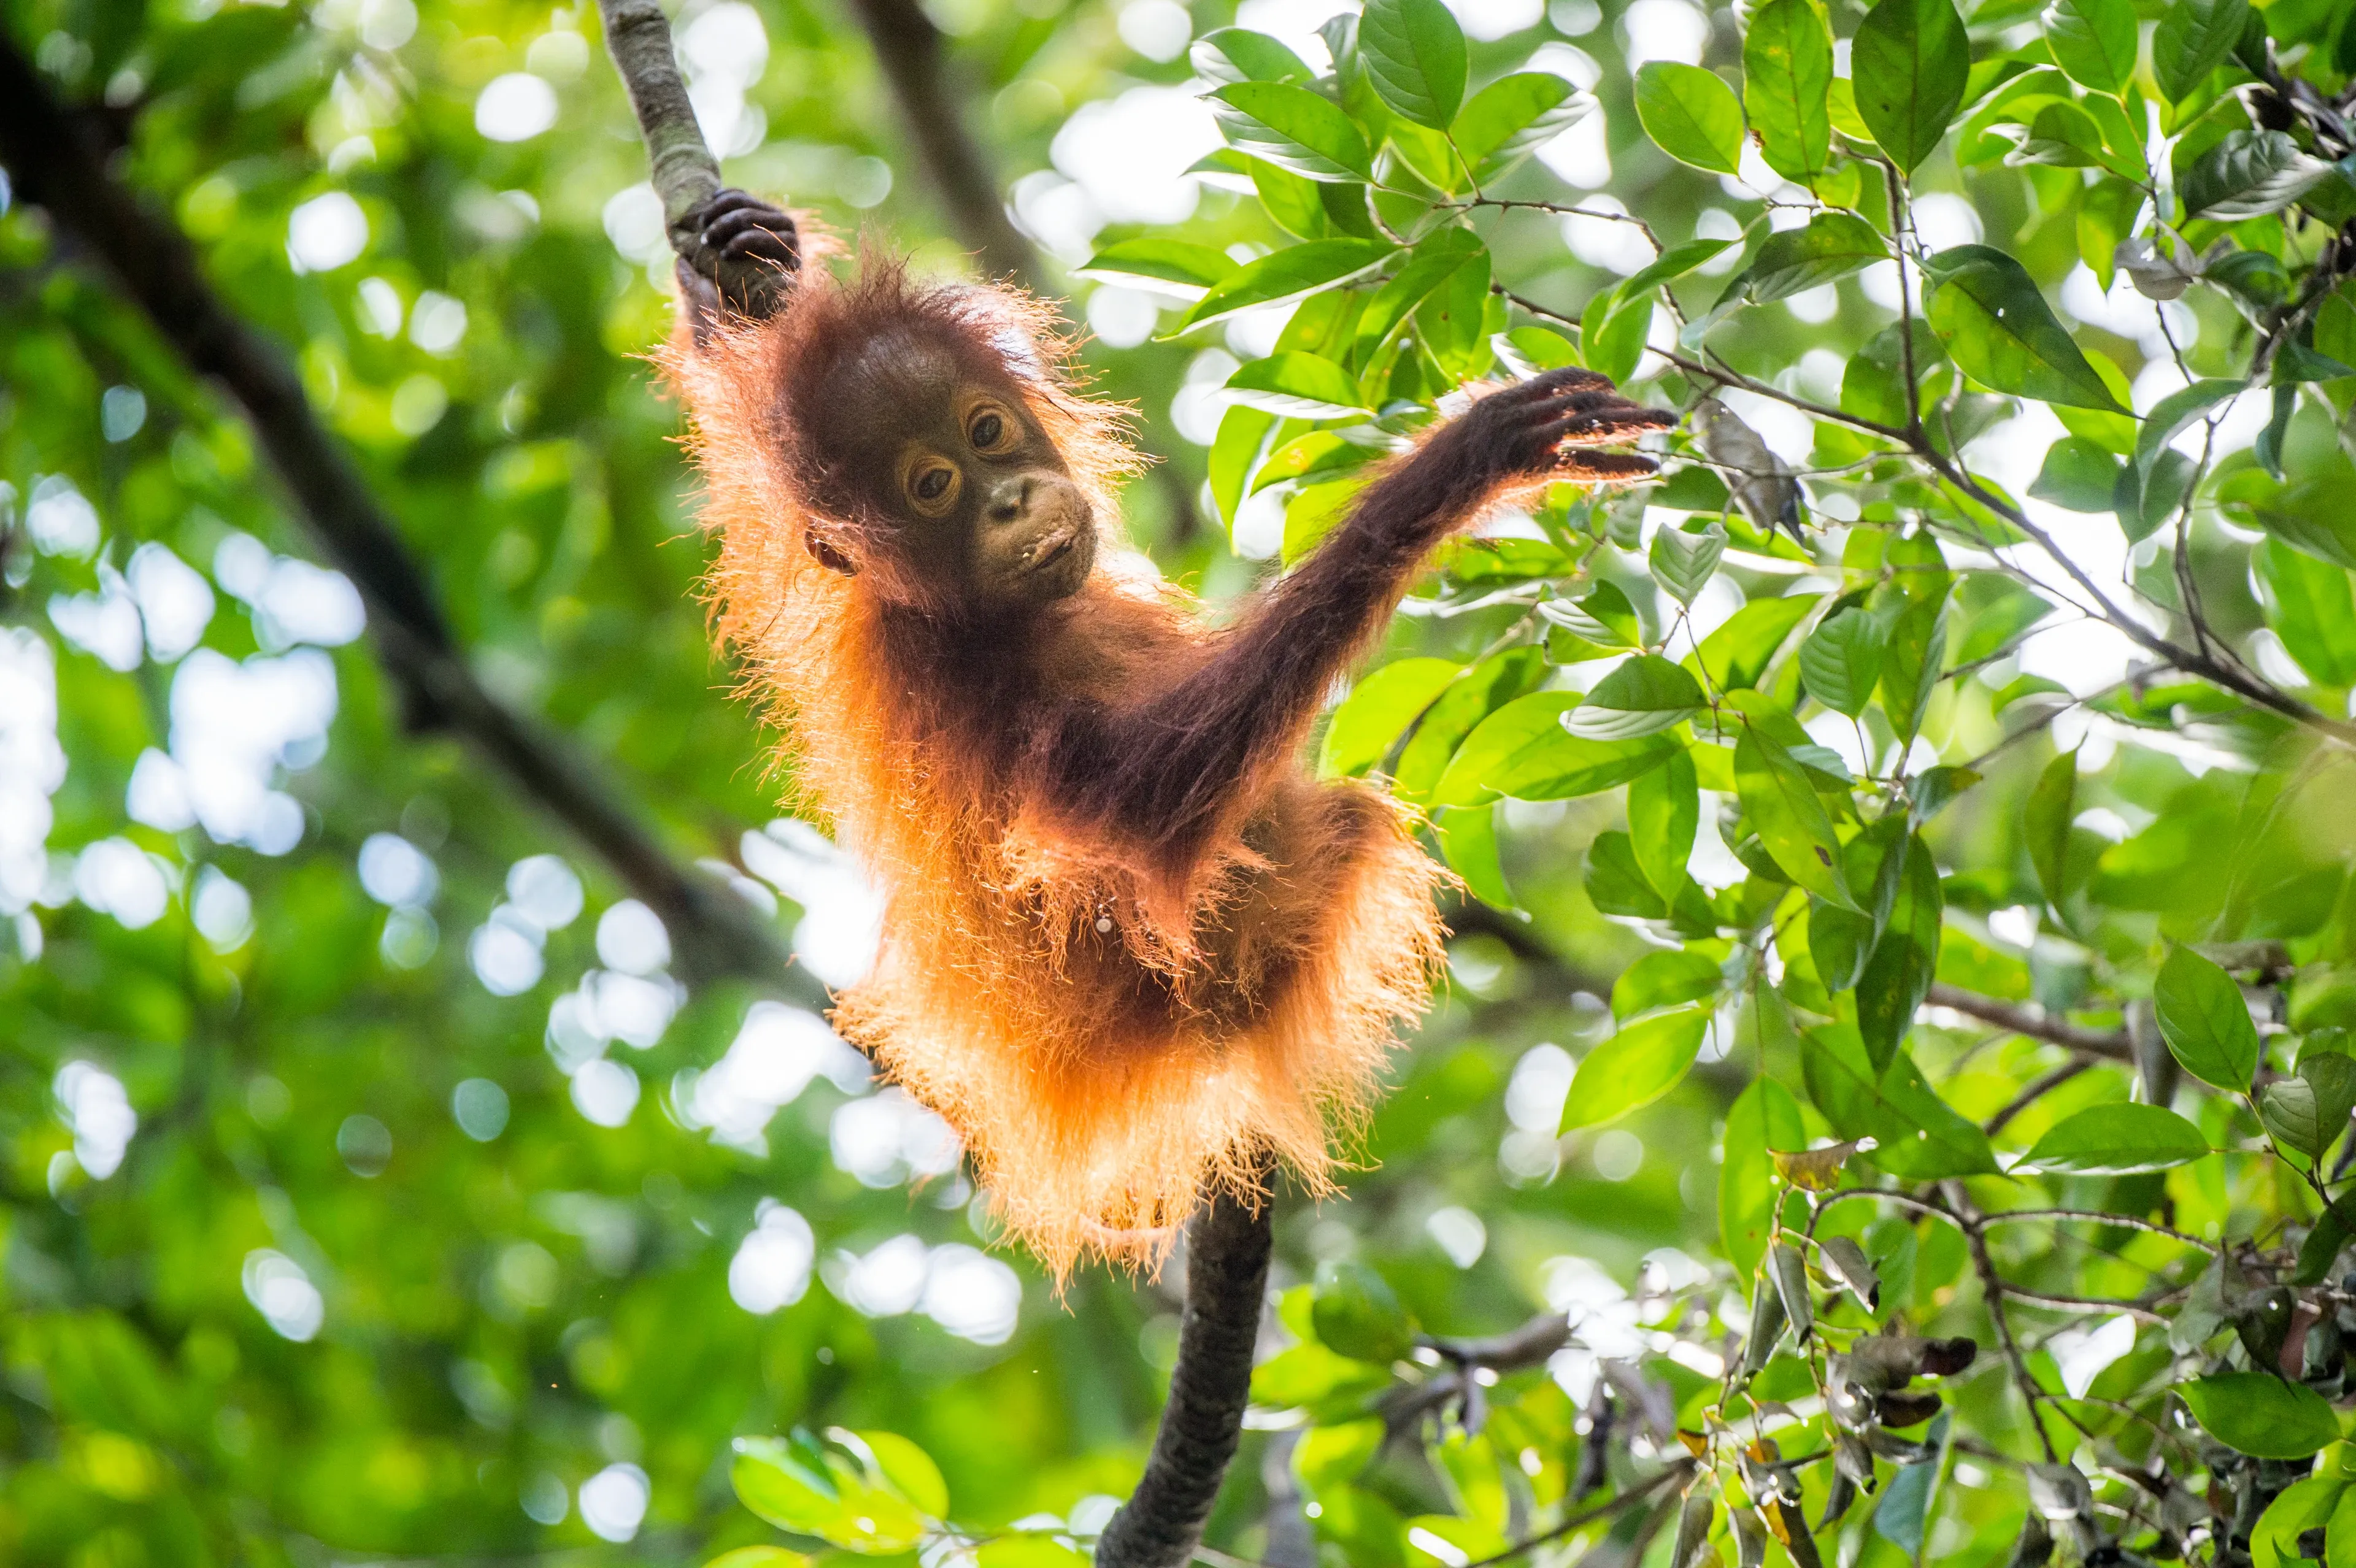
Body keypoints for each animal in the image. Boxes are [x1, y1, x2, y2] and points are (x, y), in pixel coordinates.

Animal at [662, 191, 1673, 1278]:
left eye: (986, 431)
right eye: (932, 486)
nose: (1009, 499)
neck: (969, 612)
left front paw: (741, 255)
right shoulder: (956, 682)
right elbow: (1140, 806)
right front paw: (1462, 463)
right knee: (1333, 827)